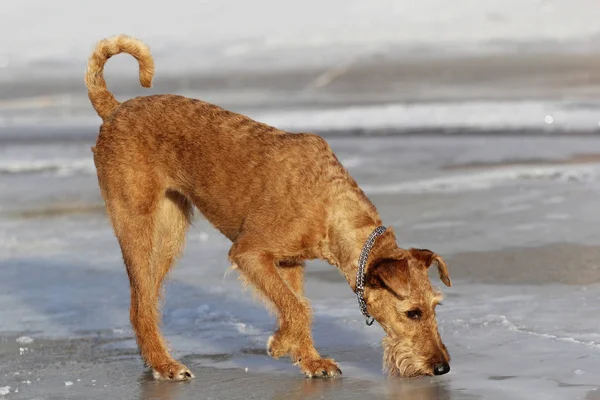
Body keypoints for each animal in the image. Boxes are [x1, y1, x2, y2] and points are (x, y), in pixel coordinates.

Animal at [83, 35, 450, 382]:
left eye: (436, 305)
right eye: (413, 312)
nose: (442, 367)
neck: (330, 208)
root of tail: (115, 109)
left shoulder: (289, 262)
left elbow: (296, 304)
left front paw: (310, 359)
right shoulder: (249, 253)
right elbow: (298, 307)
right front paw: (281, 344)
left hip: (170, 235)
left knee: (146, 301)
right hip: (139, 228)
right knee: (140, 305)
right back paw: (166, 365)